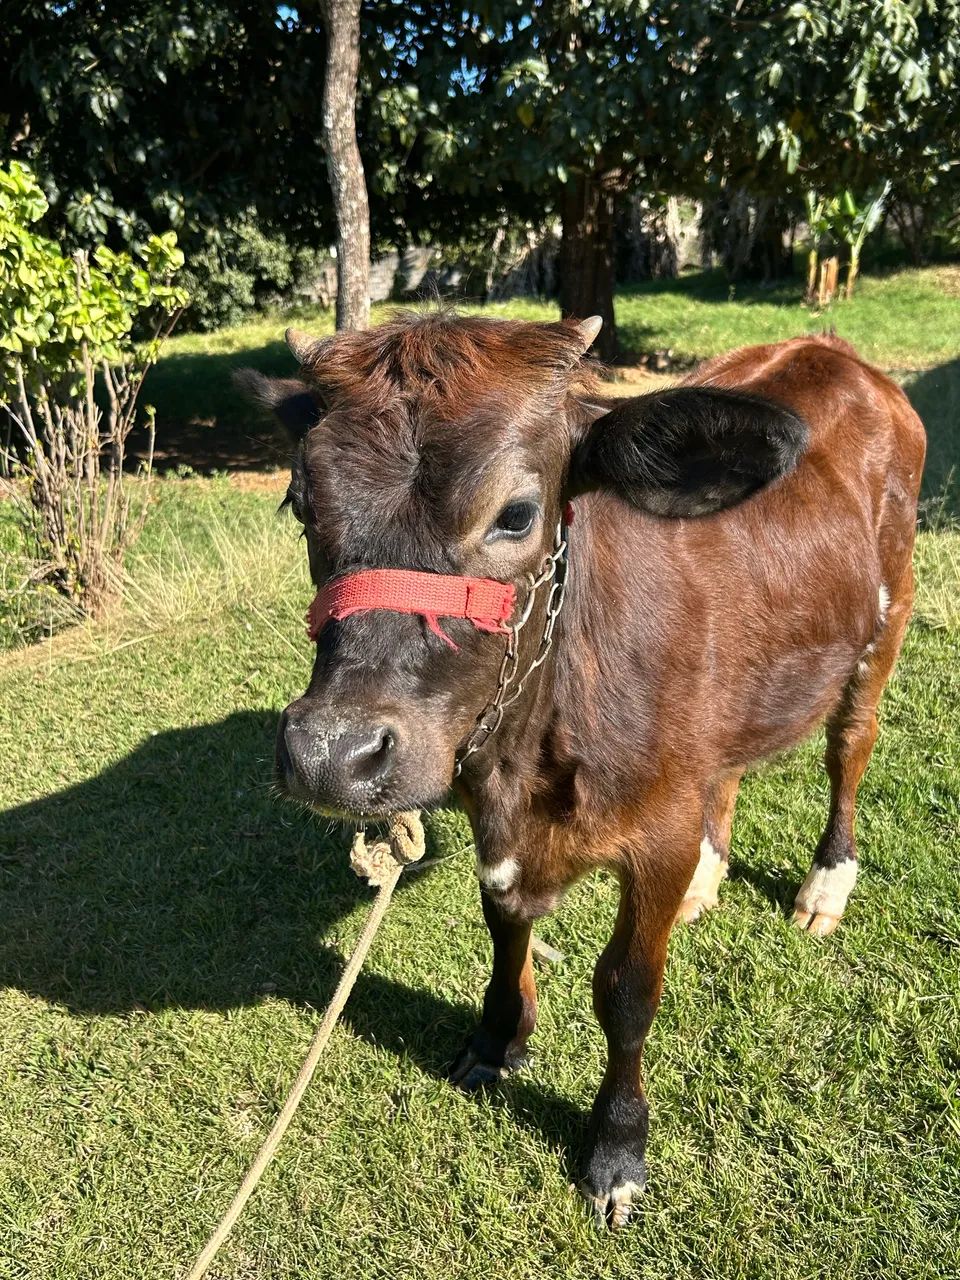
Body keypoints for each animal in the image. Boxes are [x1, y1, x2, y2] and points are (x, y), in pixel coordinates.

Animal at [239, 312, 925, 1227]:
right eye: (302, 505)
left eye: (516, 515)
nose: (330, 756)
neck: (526, 765)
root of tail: (829, 349)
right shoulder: (493, 815)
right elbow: (503, 924)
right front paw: (497, 1039)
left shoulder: (657, 833)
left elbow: (627, 993)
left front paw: (616, 1146)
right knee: (728, 769)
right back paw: (708, 880)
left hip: (888, 619)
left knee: (850, 744)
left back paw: (825, 885)